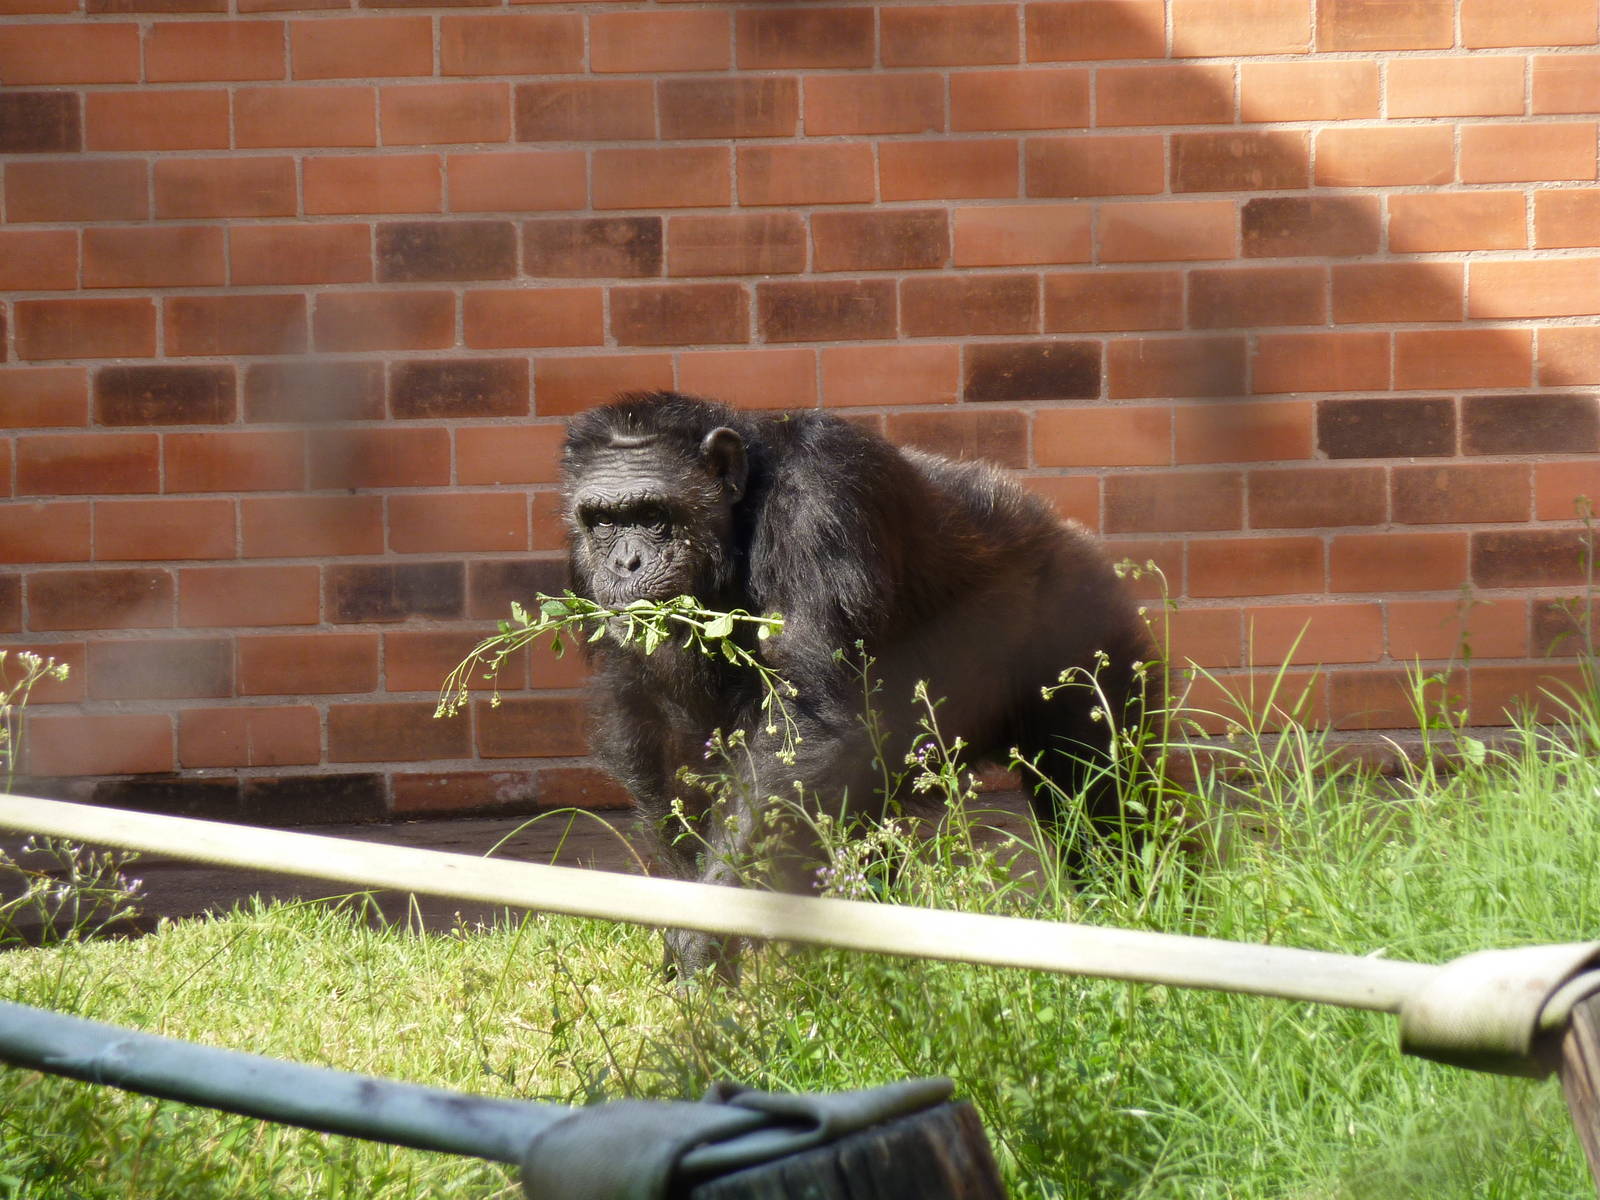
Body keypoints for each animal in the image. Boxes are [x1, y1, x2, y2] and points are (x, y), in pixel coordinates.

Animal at [562, 391, 1156, 977]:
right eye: (602, 522)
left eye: (653, 515)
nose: (626, 561)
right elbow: (665, 738)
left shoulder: (820, 500)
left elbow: (807, 716)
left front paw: (707, 929)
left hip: (1084, 629)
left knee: (1103, 793)